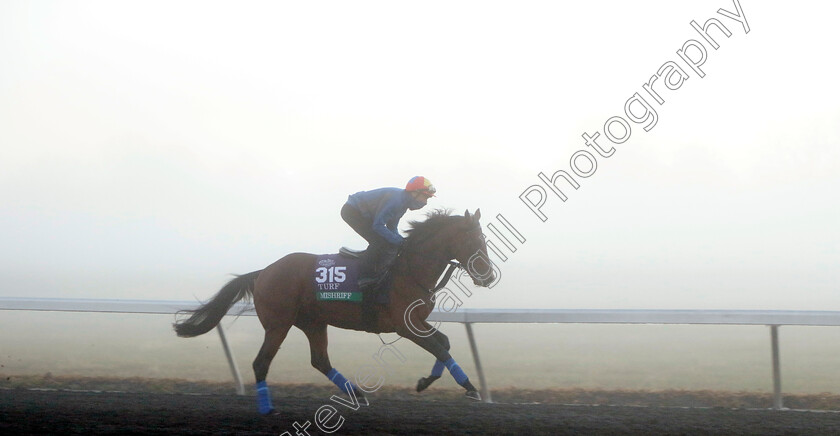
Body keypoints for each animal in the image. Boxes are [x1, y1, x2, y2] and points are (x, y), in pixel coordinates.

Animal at [174, 209, 496, 414]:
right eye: (474, 241)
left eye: (483, 240)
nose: (488, 277)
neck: (409, 269)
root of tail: (263, 272)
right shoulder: (404, 325)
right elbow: (439, 347)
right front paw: (470, 387)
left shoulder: (416, 322)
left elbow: (444, 344)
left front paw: (427, 382)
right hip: (278, 325)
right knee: (261, 363)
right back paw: (267, 408)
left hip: (313, 323)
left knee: (319, 360)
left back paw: (357, 393)